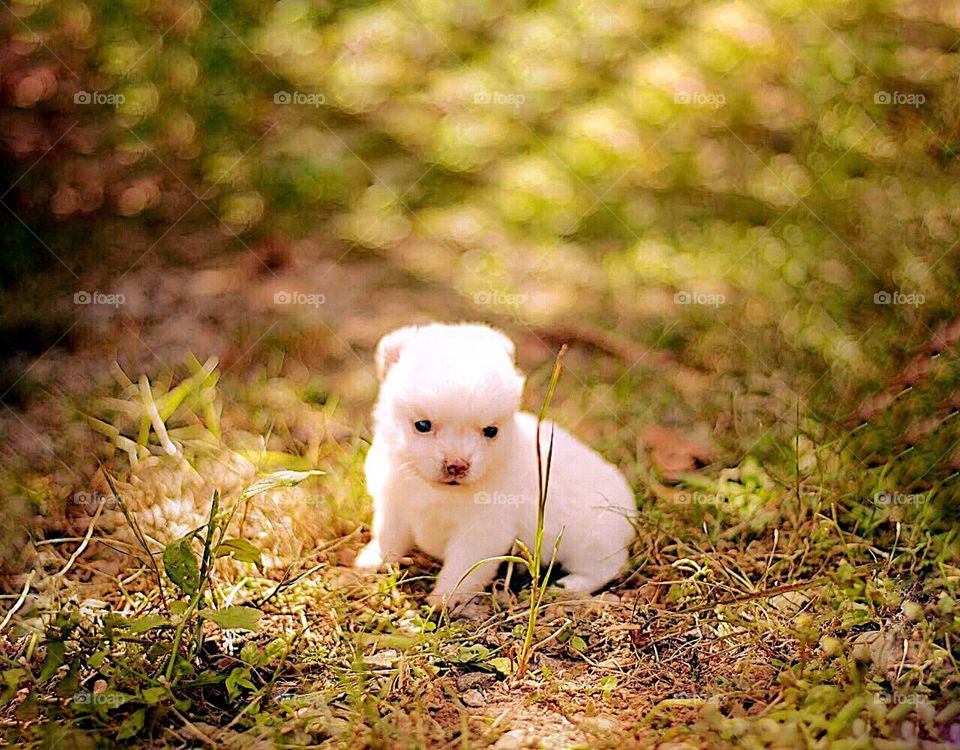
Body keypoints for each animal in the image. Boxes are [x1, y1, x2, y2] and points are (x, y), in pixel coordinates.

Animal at [356, 324, 632, 612]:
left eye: (491, 431)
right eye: (422, 425)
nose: (457, 465)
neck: (437, 492)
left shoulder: (482, 531)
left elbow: (462, 569)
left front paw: (446, 598)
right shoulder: (393, 505)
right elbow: (388, 536)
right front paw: (374, 559)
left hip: (590, 541)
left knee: (607, 567)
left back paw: (570, 584)